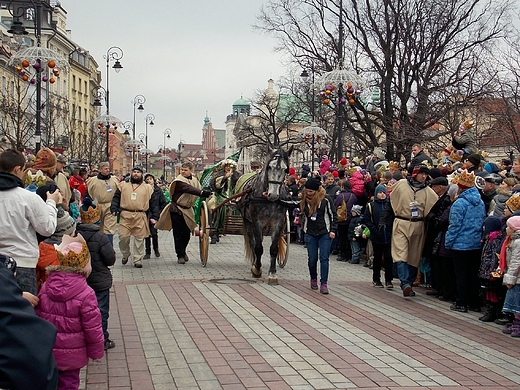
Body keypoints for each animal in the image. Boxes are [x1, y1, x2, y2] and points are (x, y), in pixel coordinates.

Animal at [236, 145, 296, 284]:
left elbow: (273, 248)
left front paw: (272, 273)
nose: (273, 194)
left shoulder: (278, 222)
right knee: (253, 242)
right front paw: (257, 269)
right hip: (248, 221)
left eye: (285, 169)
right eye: (269, 167)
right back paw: (255, 263)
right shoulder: (257, 222)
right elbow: (258, 247)